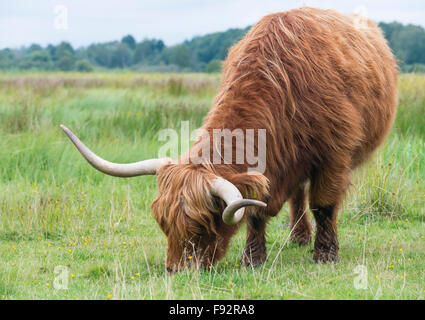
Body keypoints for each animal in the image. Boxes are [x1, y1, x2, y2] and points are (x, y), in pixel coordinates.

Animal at [60, 6, 398, 270]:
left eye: (201, 225)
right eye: (163, 223)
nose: (175, 270)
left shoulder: (334, 154)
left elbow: (324, 204)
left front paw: (326, 255)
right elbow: (256, 210)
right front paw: (253, 258)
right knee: (297, 194)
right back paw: (299, 237)